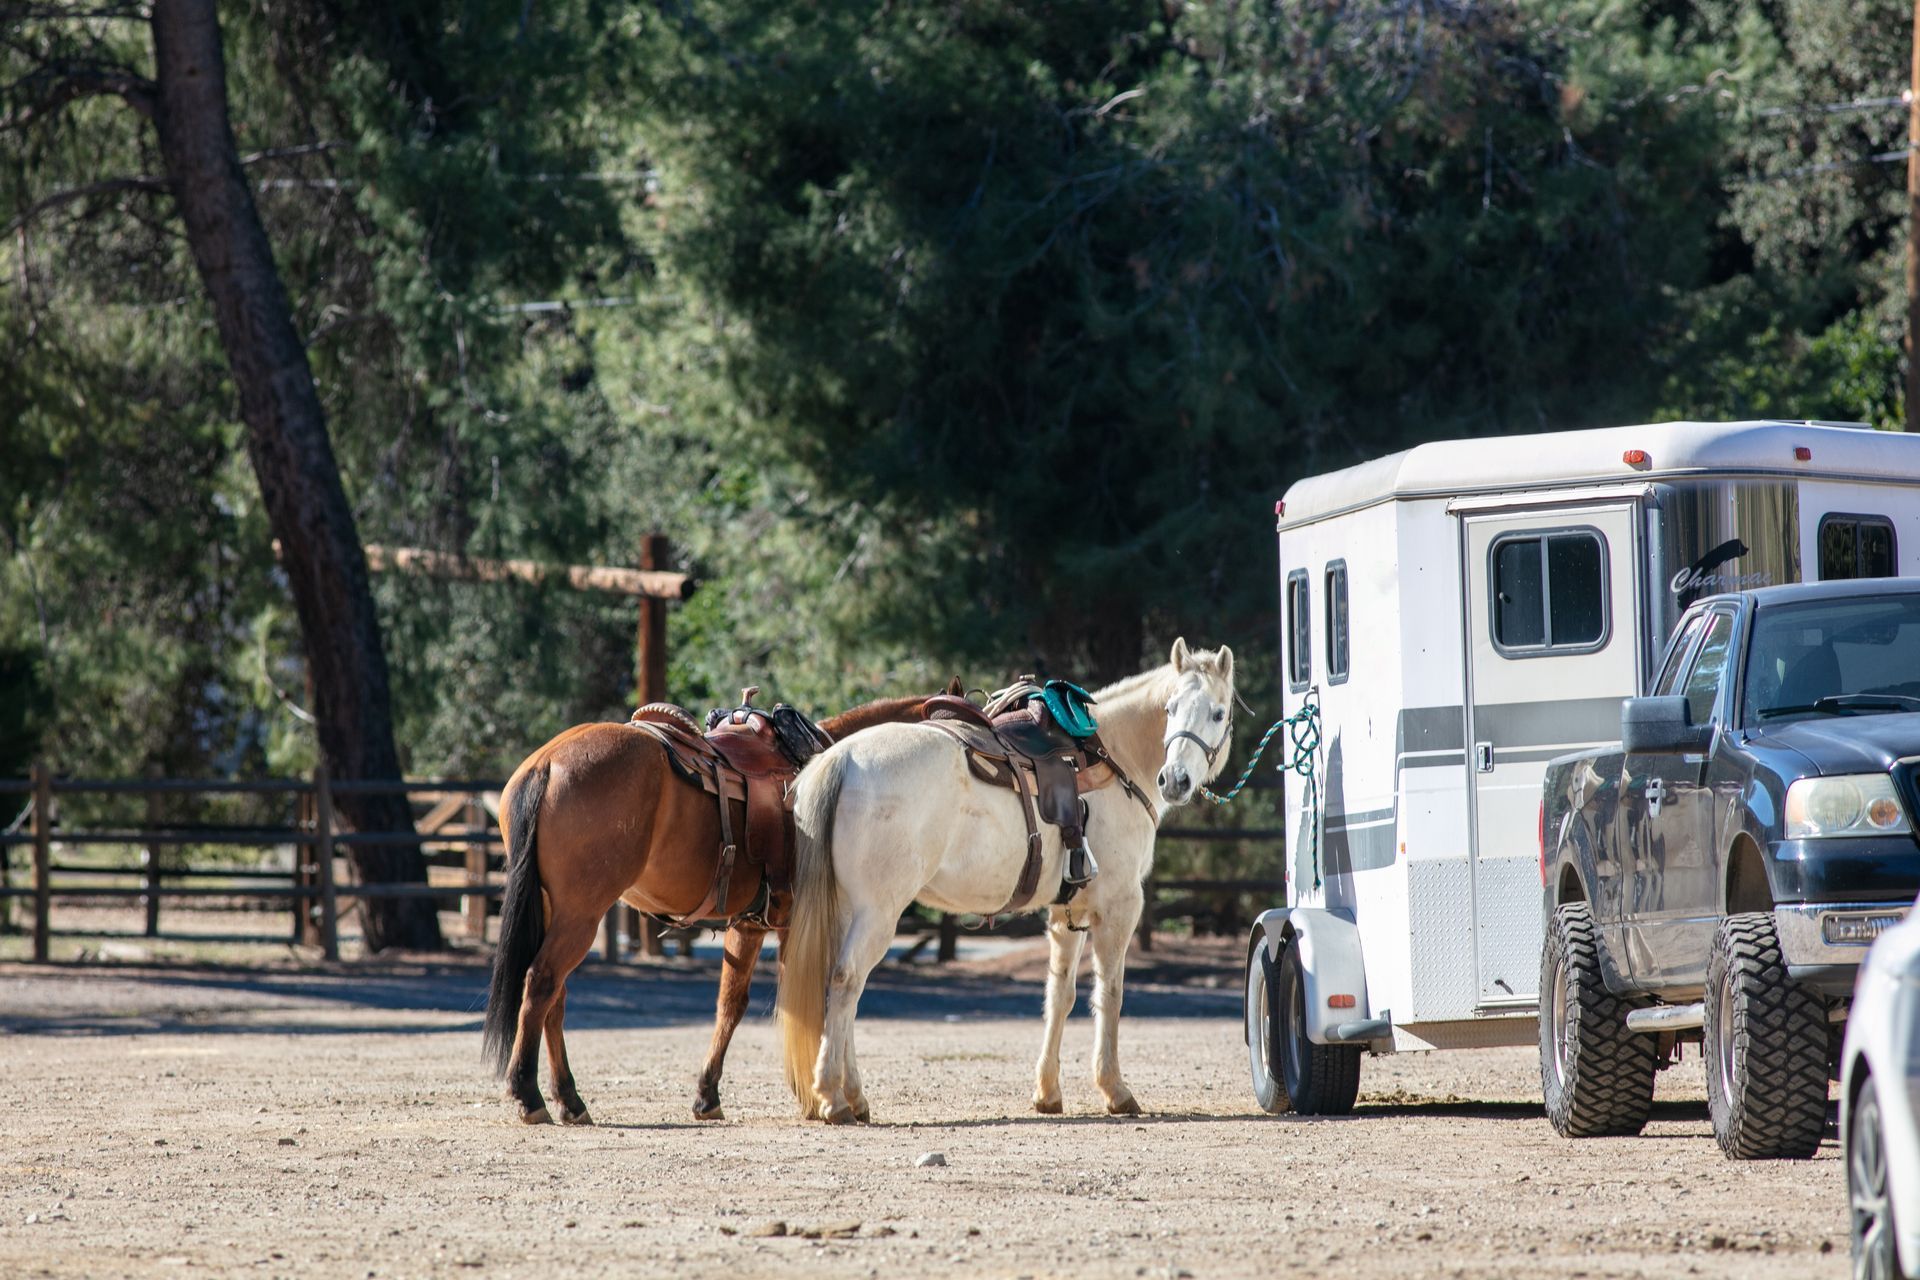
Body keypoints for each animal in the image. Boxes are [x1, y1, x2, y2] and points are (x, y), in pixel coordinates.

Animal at [480, 686, 954, 1125]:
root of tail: (547, 762)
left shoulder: (749, 924)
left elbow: (732, 1004)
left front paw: (708, 1094)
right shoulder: (799, 925)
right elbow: (812, 1001)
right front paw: (819, 1096)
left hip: (558, 913)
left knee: (554, 998)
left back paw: (569, 1099)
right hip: (580, 916)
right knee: (541, 984)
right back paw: (528, 1094)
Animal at [776, 639, 1237, 1123]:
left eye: (1217, 713)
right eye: (1170, 708)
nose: (1175, 780)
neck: (1115, 757)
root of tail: (842, 758)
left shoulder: (1068, 911)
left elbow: (1060, 994)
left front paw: (1048, 1092)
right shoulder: (1120, 907)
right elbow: (1110, 994)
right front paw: (1115, 1090)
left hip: (847, 909)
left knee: (839, 986)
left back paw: (854, 1096)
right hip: (877, 913)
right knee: (846, 982)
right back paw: (832, 1096)